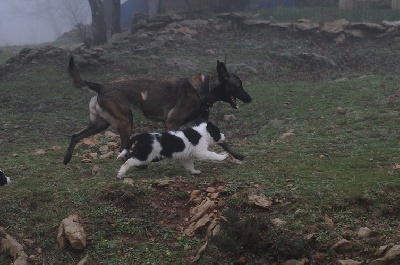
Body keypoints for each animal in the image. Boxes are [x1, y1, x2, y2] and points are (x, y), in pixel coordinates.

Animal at [63, 56, 252, 164]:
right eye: (239, 85)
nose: (250, 98)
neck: (203, 89)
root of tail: (102, 86)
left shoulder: (205, 125)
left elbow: (223, 142)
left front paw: (238, 156)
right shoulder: (171, 122)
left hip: (101, 124)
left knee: (75, 136)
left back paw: (67, 158)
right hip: (126, 122)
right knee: (122, 148)